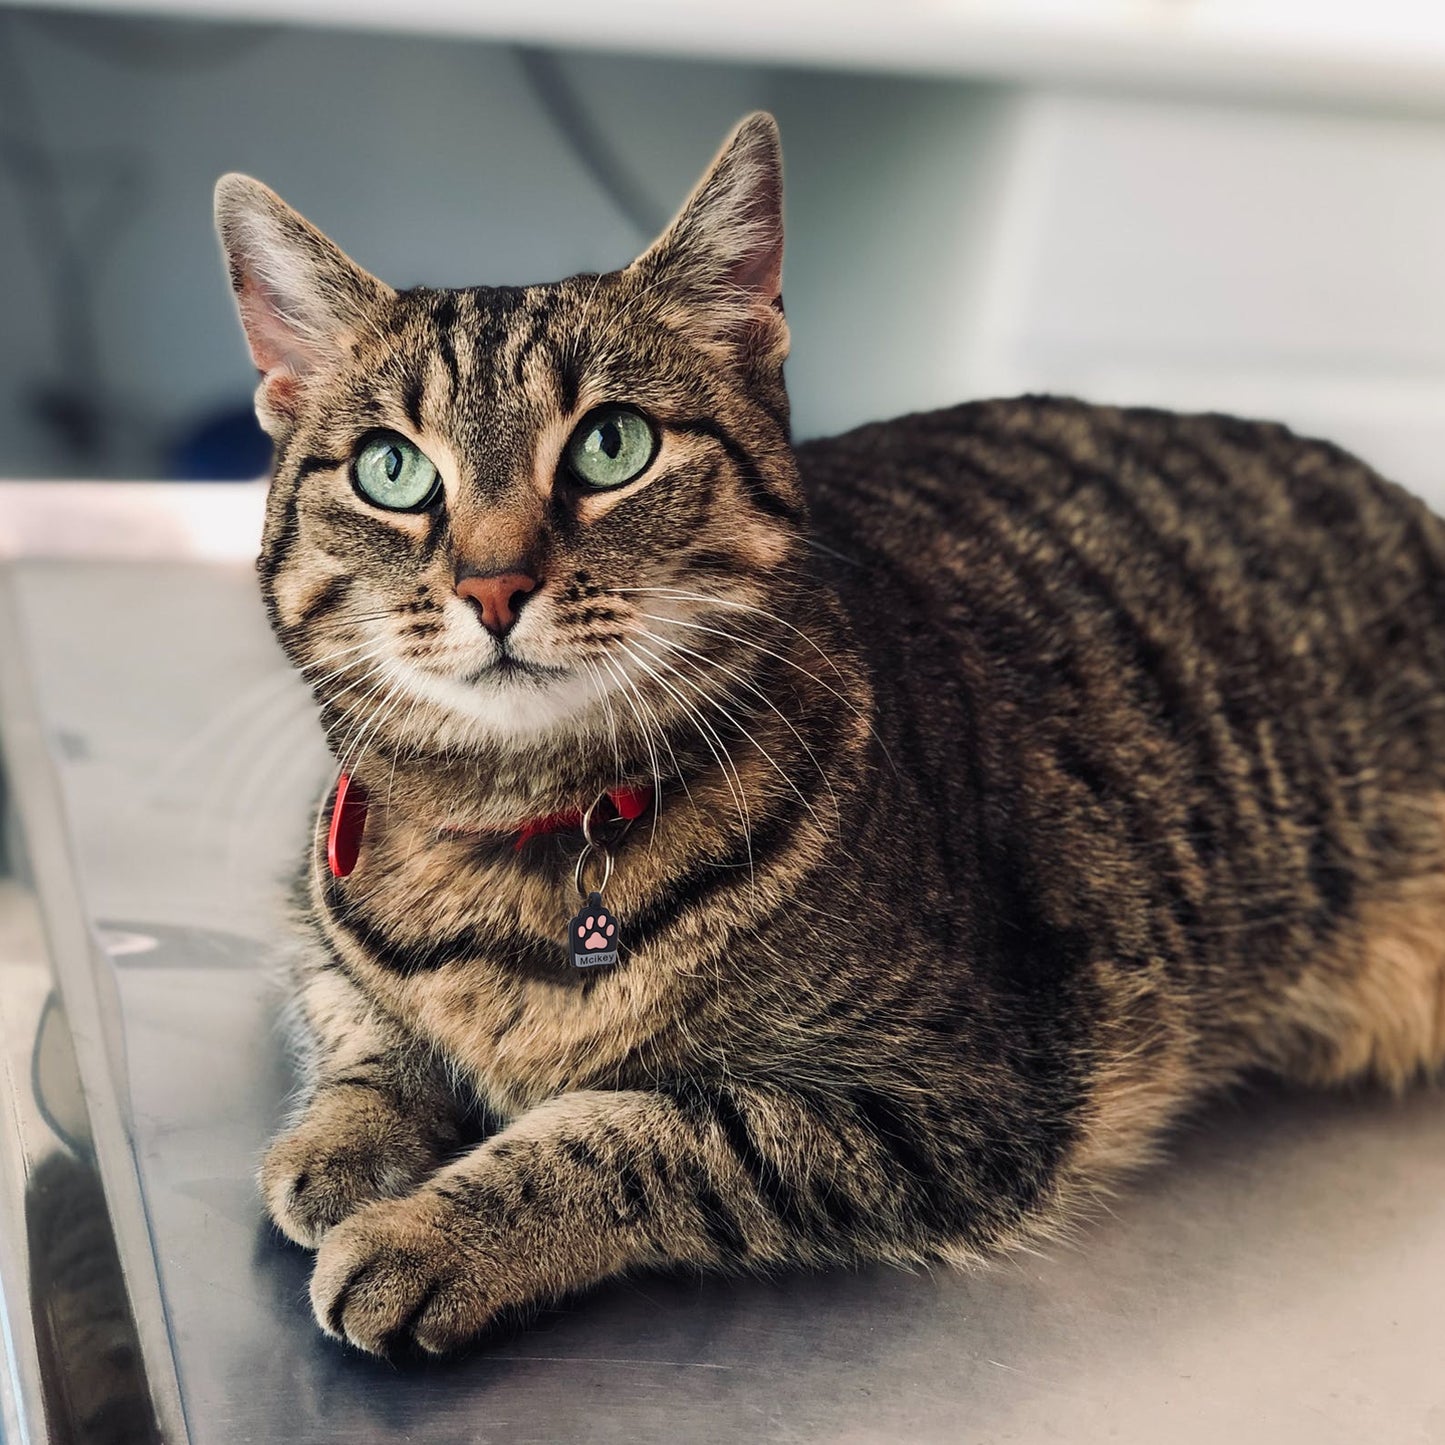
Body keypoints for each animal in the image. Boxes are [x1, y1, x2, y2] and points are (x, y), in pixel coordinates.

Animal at [213, 109, 1445, 1352]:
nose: (493, 584)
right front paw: (340, 1141)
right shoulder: (313, 917)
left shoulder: (952, 1094)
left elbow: (632, 1133)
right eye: (391, 468)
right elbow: (354, 1019)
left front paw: (429, 1232)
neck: (518, 839)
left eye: (611, 444)